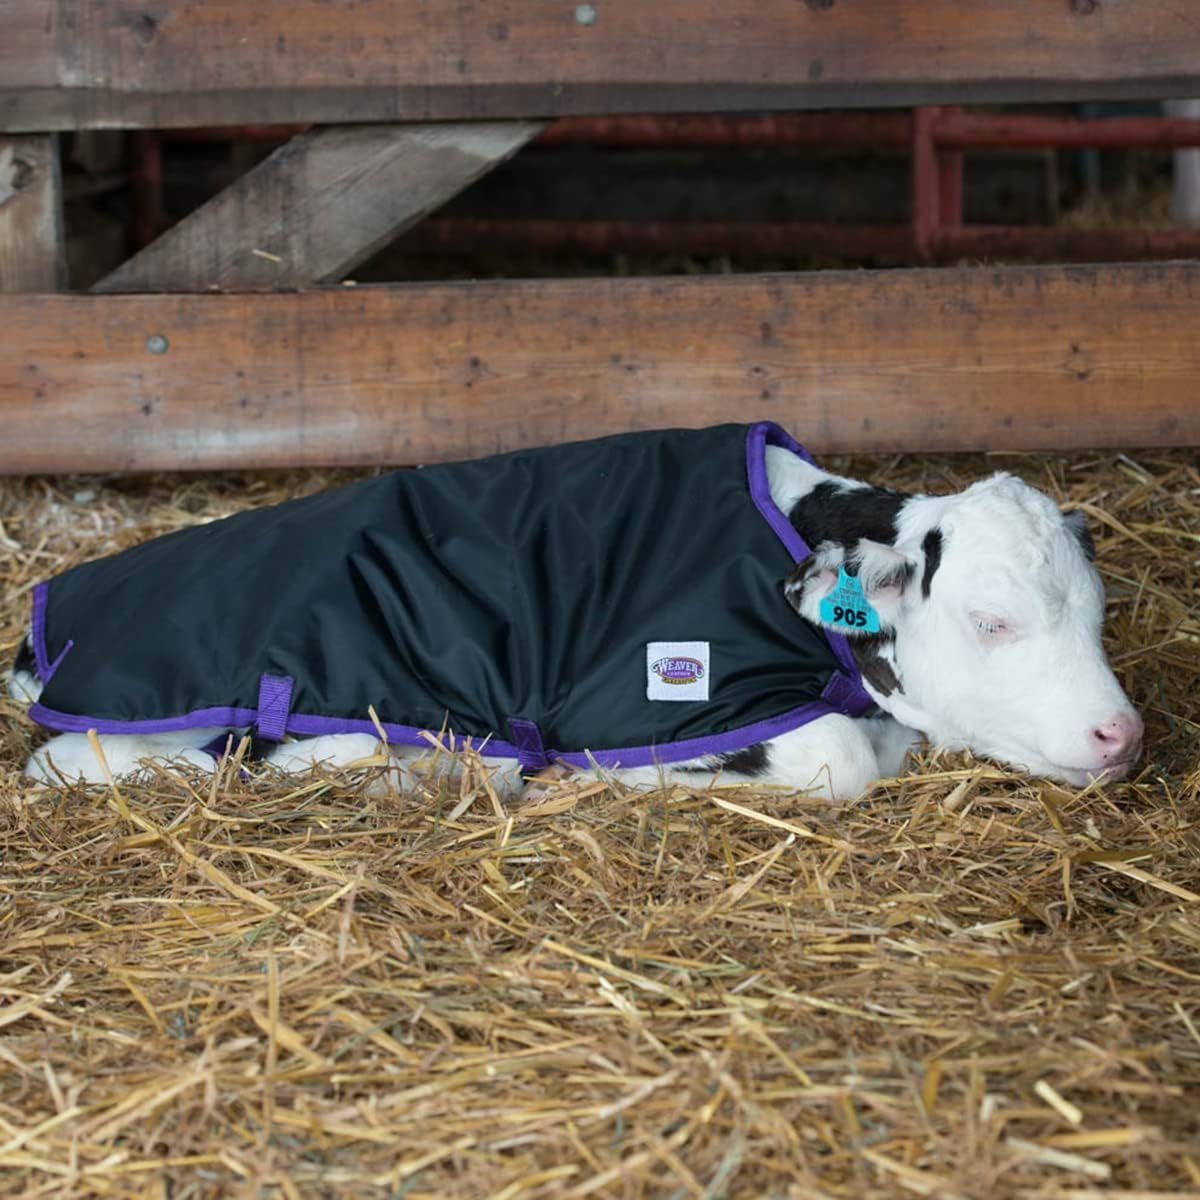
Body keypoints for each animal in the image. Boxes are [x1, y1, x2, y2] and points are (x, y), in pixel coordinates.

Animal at [7, 423, 1142, 800]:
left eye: (1094, 615)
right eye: (993, 621)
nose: (1121, 733)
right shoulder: (668, 699)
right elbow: (840, 763)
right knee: (76, 764)